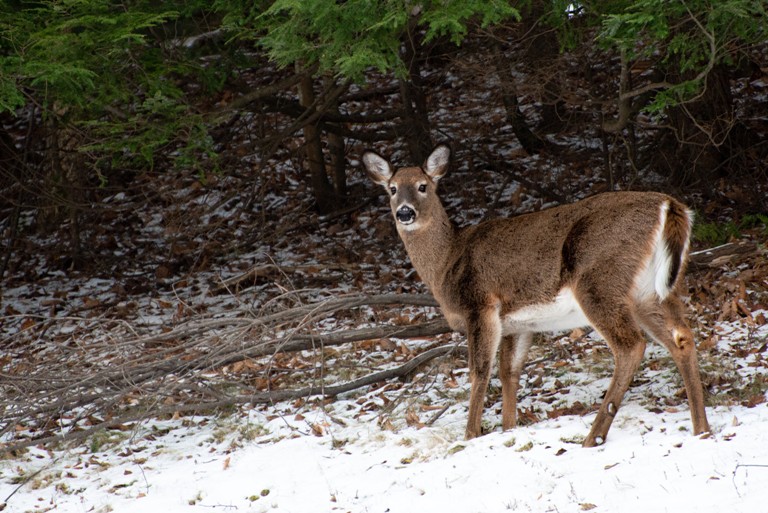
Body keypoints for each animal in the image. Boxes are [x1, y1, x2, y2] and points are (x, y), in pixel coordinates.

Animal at [362, 144, 710, 447]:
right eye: (392, 189)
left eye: (423, 186)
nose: (405, 212)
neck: (447, 261)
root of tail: (670, 206)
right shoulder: (516, 324)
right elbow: (509, 372)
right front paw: (508, 428)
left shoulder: (480, 304)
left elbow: (479, 370)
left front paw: (471, 435)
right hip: (650, 292)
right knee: (682, 338)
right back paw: (701, 429)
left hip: (598, 280)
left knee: (630, 345)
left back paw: (593, 437)